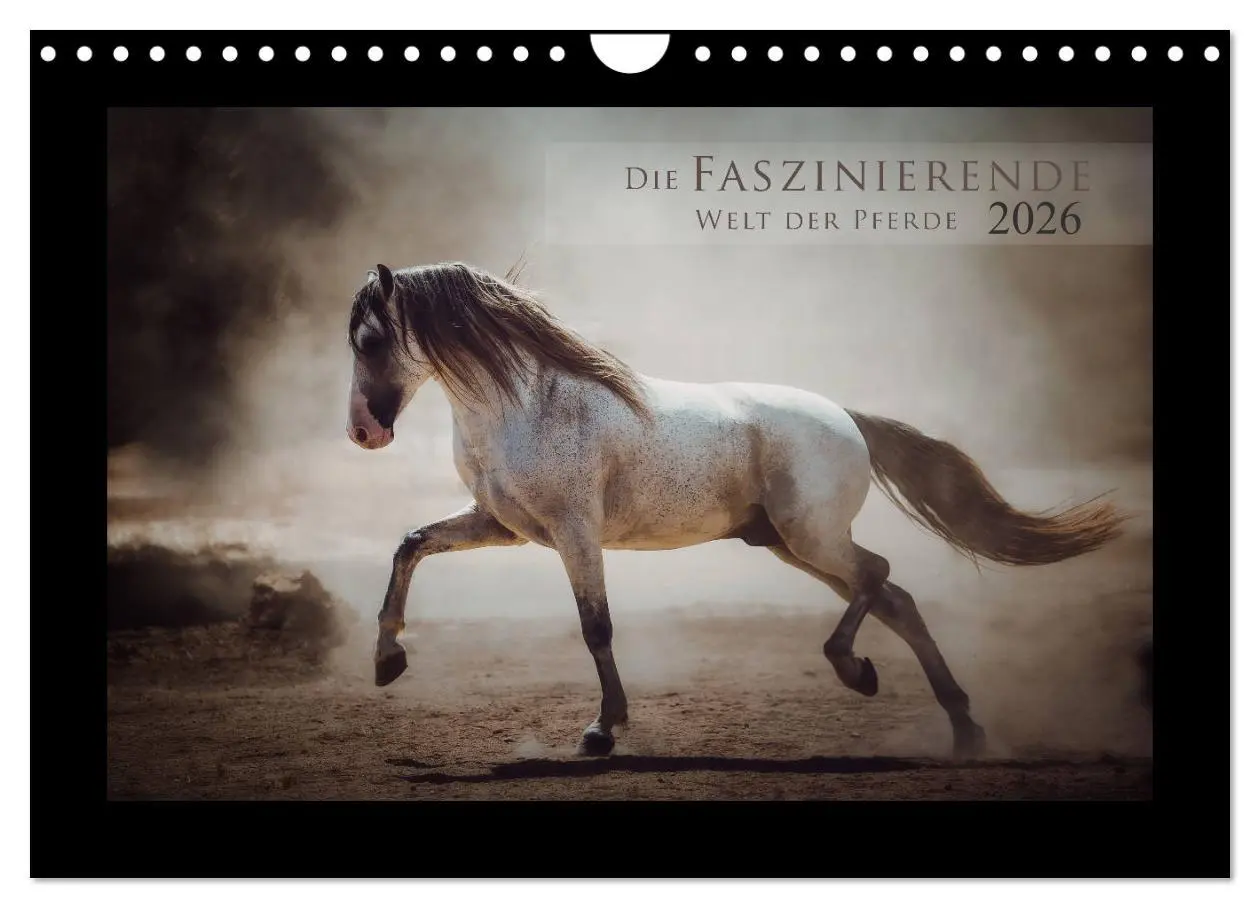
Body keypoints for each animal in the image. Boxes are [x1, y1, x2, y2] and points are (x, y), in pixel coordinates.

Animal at [345, 260, 1123, 758]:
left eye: (372, 339)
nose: (364, 434)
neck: (526, 403)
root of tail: (847, 417)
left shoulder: (575, 532)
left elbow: (596, 627)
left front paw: (603, 731)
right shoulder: (504, 528)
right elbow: (410, 543)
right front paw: (388, 662)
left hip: (810, 538)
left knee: (879, 575)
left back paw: (857, 672)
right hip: (787, 543)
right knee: (896, 598)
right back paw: (962, 729)